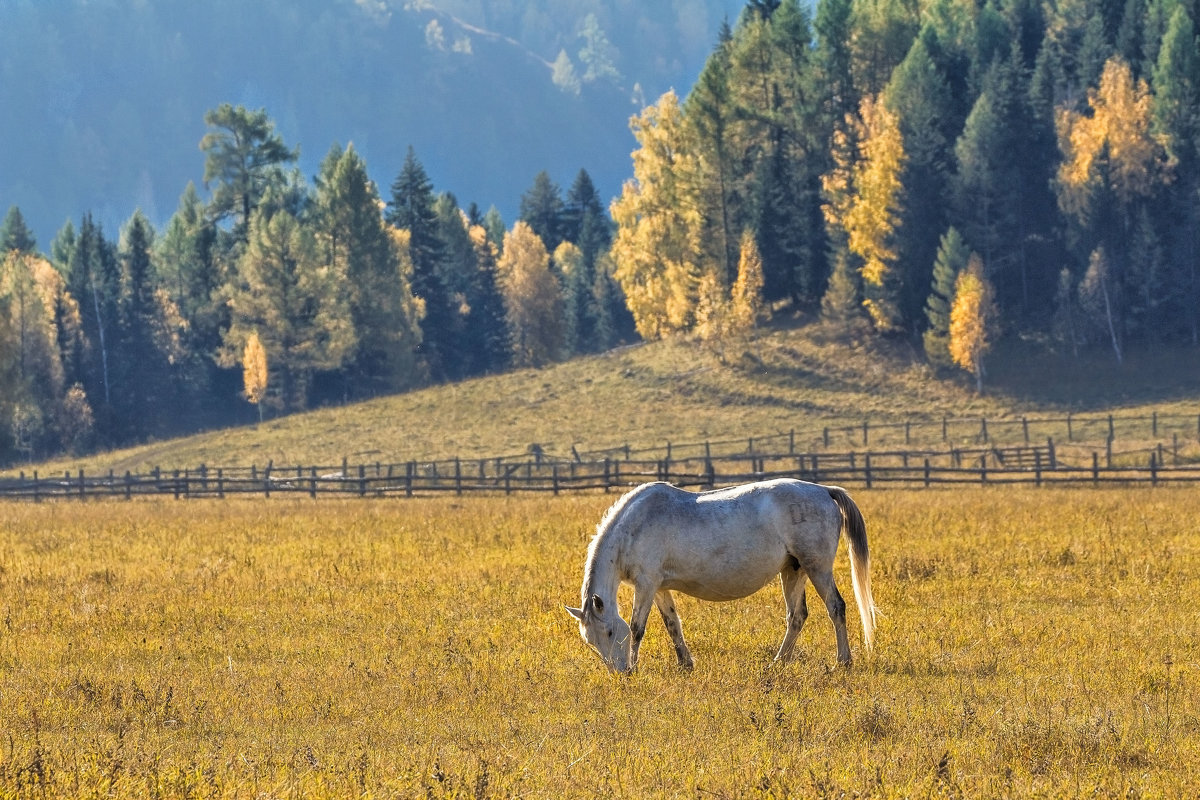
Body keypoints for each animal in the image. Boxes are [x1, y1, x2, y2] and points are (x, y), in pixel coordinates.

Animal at [566, 479, 878, 671]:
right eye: (591, 641)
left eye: (608, 632)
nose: (620, 672)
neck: (634, 526)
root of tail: (824, 490)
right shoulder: (659, 588)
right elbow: (672, 623)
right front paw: (685, 664)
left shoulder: (645, 584)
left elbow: (636, 627)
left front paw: (635, 665)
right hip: (794, 569)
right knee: (797, 616)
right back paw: (778, 663)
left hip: (817, 567)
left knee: (836, 607)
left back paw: (843, 662)